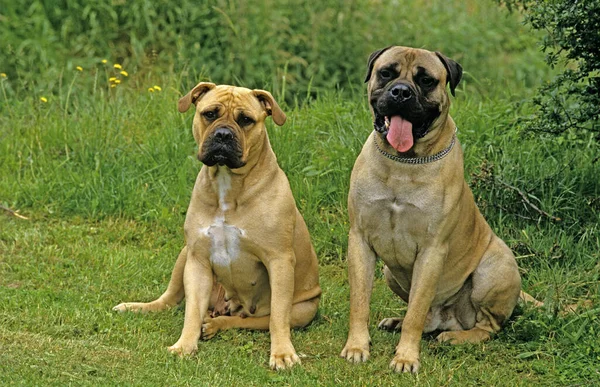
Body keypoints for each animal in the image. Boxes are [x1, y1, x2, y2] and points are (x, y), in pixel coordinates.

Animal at [115, 82, 326, 370]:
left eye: (246, 120)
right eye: (210, 114)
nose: (223, 134)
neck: (228, 186)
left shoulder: (280, 261)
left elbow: (277, 317)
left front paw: (282, 353)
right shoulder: (198, 260)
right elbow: (191, 311)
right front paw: (184, 345)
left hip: (302, 310)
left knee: (252, 320)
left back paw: (216, 324)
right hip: (184, 255)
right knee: (169, 300)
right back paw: (138, 307)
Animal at [342, 47, 524, 374]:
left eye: (426, 80)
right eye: (386, 73)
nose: (401, 92)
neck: (403, 163)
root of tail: (449, 319)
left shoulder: (431, 250)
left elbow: (416, 311)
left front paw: (405, 357)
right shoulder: (360, 240)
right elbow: (360, 303)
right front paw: (357, 347)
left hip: (494, 268)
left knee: (487, 326)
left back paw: (457, 337)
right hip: (389, 272)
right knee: (426, 317)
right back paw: (398, 322)